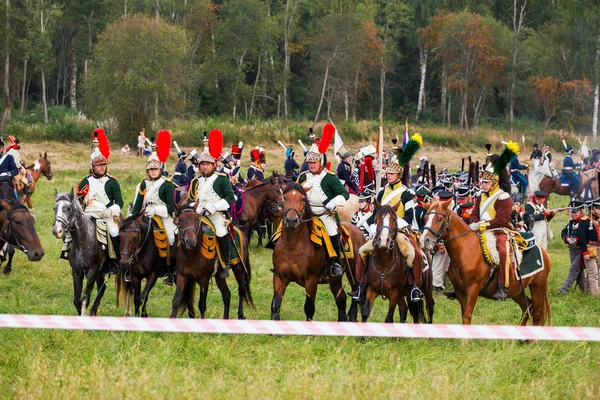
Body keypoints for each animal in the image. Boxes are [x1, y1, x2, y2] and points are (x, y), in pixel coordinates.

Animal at [53, 189, 112, 318]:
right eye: (55, 208)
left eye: (68, 208)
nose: (57, 231)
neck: (83, 241)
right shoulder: (77, 272)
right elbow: (77, 300)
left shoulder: (91, 273)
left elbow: (85, 299)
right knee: (102, 288)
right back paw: (93, 312)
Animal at [272, 184, 366, 322]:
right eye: (284, 197)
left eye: (303, 199)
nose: (291, 220)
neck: (292, 247)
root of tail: (359, 232)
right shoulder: (279, 277)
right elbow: (276, 304)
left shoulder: (310, 281)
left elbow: (309, 308)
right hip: (335, 279)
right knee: (341, 299)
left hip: (354, 272)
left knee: (355, 291)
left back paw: (353, 316)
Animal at [420, 199, 552, 324]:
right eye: (425, 218)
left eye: (439, 218)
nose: (424, 241)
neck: (466, 250)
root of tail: (543, 251)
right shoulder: (459, 291)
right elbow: (463, 316)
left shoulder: (473, 290)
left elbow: (467, 317)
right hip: (517, 290)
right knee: (527, 307)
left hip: (537, 287)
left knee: (536, 315)